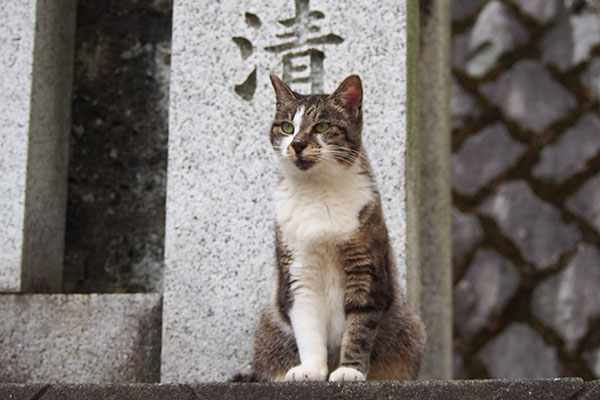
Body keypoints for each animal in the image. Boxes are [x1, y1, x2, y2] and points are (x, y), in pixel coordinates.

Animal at [234, 73, 426, 382]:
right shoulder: (298, 270)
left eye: (322, 126)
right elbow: (307, 325)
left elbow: (359, 325)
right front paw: (311, 370)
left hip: (411, 329)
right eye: (287, 127)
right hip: (267, 329)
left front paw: (349, 370)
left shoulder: (365, 267)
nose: (297, 144)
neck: (317, 190)